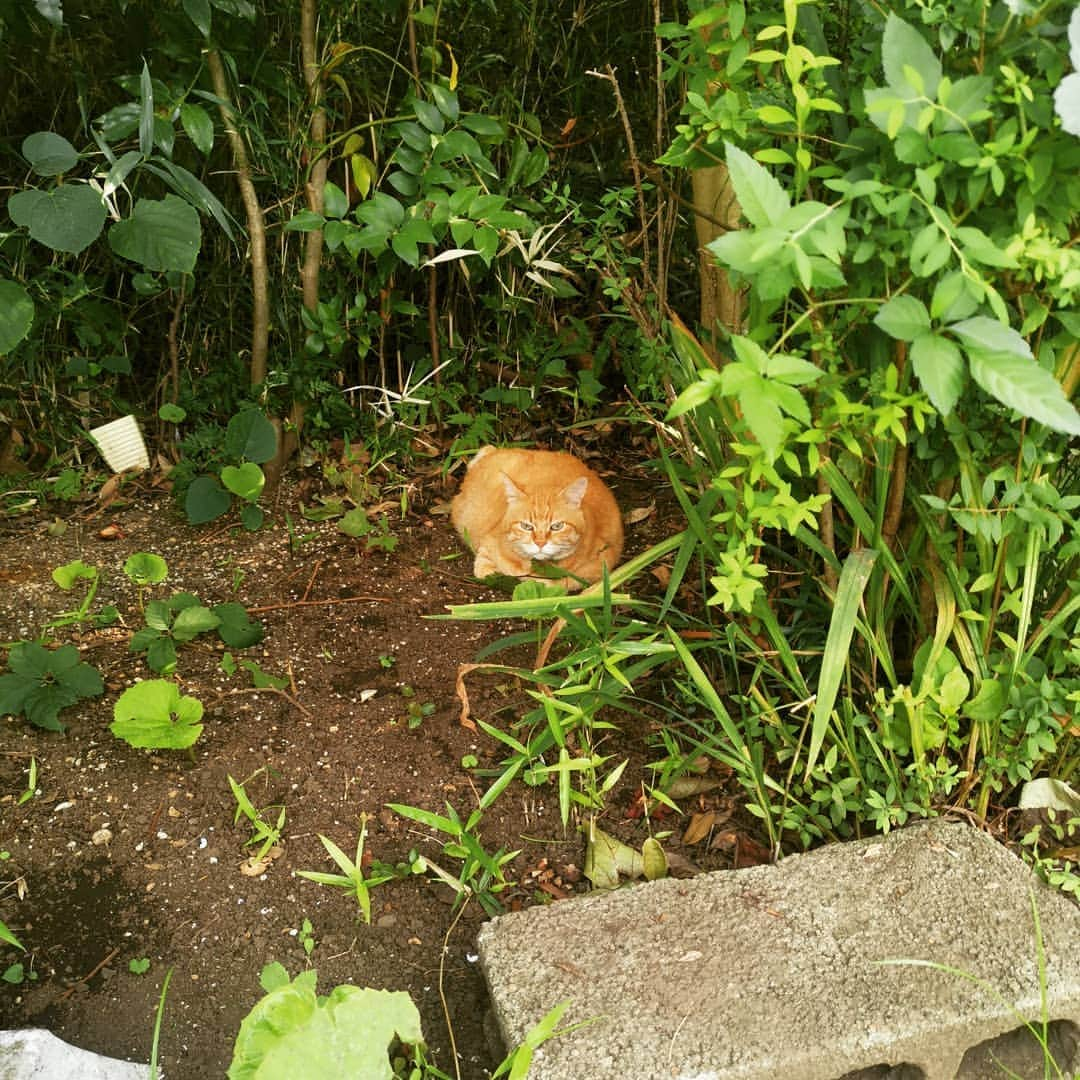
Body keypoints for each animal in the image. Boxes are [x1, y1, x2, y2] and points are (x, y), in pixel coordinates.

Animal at [451, 444, 626, 587]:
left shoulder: (601, 565)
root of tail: (495, 450)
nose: (540, 543)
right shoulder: (485, 545)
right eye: (526, 526)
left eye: (557, 526)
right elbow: (489, 565)